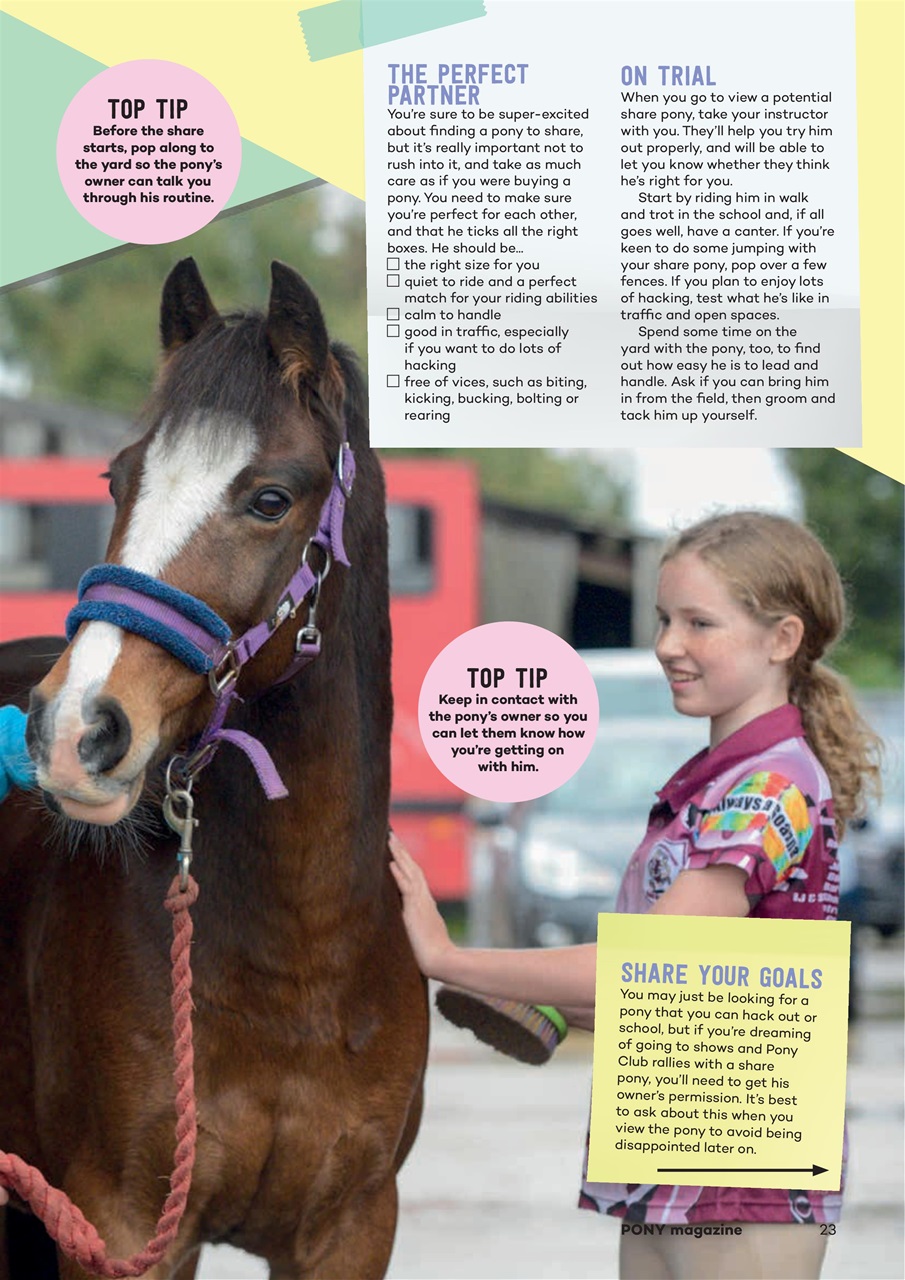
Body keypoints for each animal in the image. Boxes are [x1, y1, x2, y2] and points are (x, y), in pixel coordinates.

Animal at [0, 260, 429, 1279]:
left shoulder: (351, 1229)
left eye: (270, 498)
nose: (72, 729)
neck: (299, 957)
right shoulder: (120, 1226)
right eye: (117, 478)